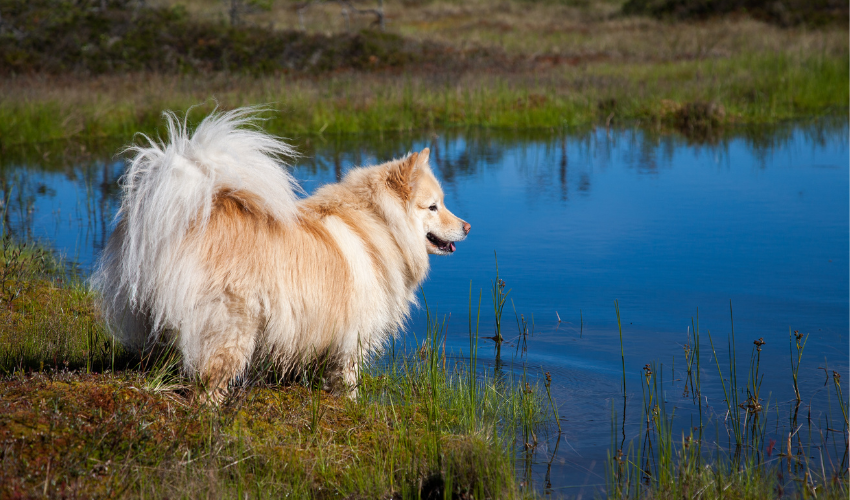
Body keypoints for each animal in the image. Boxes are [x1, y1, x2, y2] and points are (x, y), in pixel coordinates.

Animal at [96, 108, 474, 402]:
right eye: (434, 207)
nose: (468, 226)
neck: (378, 223)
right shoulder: (354, 336)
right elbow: (349, 382)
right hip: (232, 327)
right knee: (209, 385)